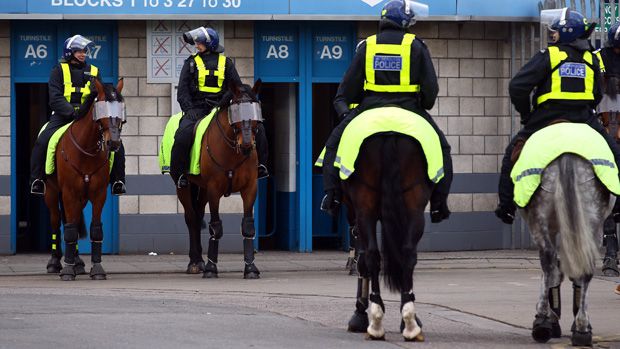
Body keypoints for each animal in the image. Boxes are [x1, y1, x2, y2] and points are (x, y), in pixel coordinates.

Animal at [44, 78, 124, 280]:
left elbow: (95, 229)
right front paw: (67, 270)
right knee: (56, 222)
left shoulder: (98, 194)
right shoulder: (69, 193)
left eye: (120, 110)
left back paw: (78, 263)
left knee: (70, 221)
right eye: (101, 108)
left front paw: (97, 268)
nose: (113, 143)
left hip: (80, 198)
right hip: (52, 194)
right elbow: (69, 230)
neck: (86, 150)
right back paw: (56, 262)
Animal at [177, 80, 262, 278]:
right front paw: (211, 267)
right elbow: (216, 227)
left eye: (255, 112)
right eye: (236, 111)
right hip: (183, 187)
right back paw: (195, 262)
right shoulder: (214, 190)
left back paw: (199, 260)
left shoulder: (250, 189)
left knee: (198, 215)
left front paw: (250, 267)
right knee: (191, 218)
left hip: (202, 189)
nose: (247, 145)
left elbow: (248, 226)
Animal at [342, 133, 434, 340]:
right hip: (414, 208)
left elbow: (362, 260)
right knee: (406, 254)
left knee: (372, 256)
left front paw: (360, 314)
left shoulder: (358, 213)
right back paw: (408, 322)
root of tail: (391, 133)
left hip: (365, 210)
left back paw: (377, 321)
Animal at [520, 153, 612, 346]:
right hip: (591, 219)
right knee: (582, 267)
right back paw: (581, 327)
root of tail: (567, 155)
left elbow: (553, 271)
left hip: (542, 218)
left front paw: (551, 317)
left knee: (549, 263)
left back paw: (544, 320)